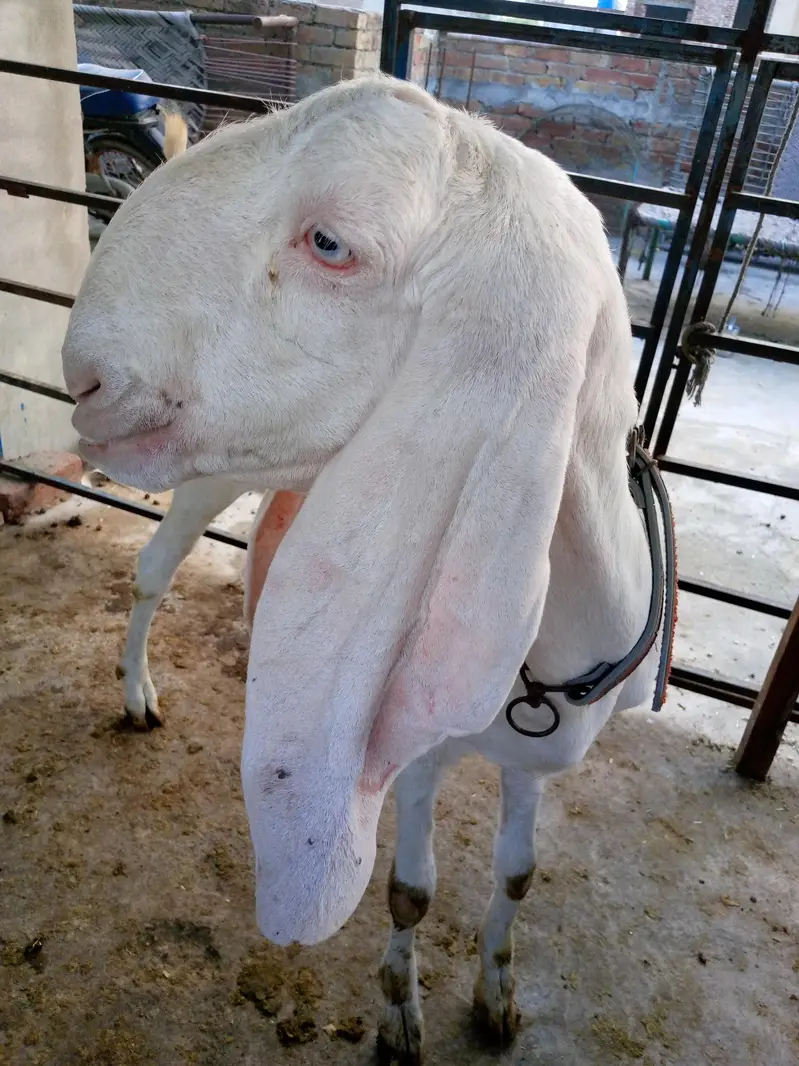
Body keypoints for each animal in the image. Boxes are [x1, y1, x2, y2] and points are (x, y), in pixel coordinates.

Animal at [62, 75, 665, 1063]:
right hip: (208, 473)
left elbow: (519, 874)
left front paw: (497, 997)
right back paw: (137, 691)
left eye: (330, 244)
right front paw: (398, 1018)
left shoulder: (532, 765)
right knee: (151, 571)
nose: (86, 380)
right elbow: (410, 892)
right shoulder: (411, 753)